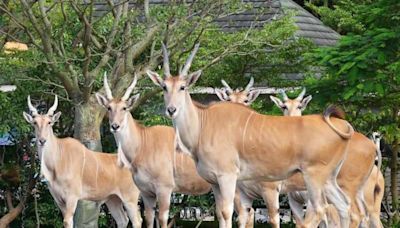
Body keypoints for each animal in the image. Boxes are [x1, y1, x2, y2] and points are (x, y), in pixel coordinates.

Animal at [22, 95, 142, 228]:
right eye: (35, 123)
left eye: (49, 122)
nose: (42, 140)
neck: (58, 159)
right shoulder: (59, 200)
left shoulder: (72, 197)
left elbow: (67, 221)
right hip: (113, 199)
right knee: (122, 220)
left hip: (130, 198)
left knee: (137, 220)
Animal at [95, 73, 212, 228]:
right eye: (109, 107)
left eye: (124, 108)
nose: (115, 126)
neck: (143, 144)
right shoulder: (146, 192)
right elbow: (149, 219)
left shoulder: (165, 189)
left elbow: (161, 219)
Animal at [148, 42, 354, 228]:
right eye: (164, 87)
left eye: (183, 87)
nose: (171, 110)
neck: (203, 124)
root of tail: (341, 125)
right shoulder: (215, 183)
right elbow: (223, 214)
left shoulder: (229, 177)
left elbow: (227, 212)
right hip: (328, 179)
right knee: (344, 205)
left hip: (314, 177)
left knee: (320, 210)